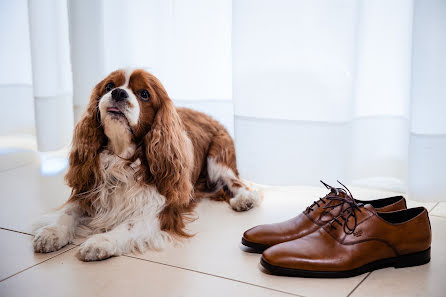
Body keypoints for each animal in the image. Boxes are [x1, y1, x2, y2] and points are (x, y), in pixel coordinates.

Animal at [33, 69, 264, 260]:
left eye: (144, 94)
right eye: (109, 86)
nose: (118, 93)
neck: (121, 157)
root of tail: (208, 115)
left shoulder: (162, 210)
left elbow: (128, 225)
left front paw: (101, 242)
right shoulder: (88, 190)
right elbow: (68, 212)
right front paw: (52, 232)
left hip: (217, 160)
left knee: (236, 182)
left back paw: (245, 199)